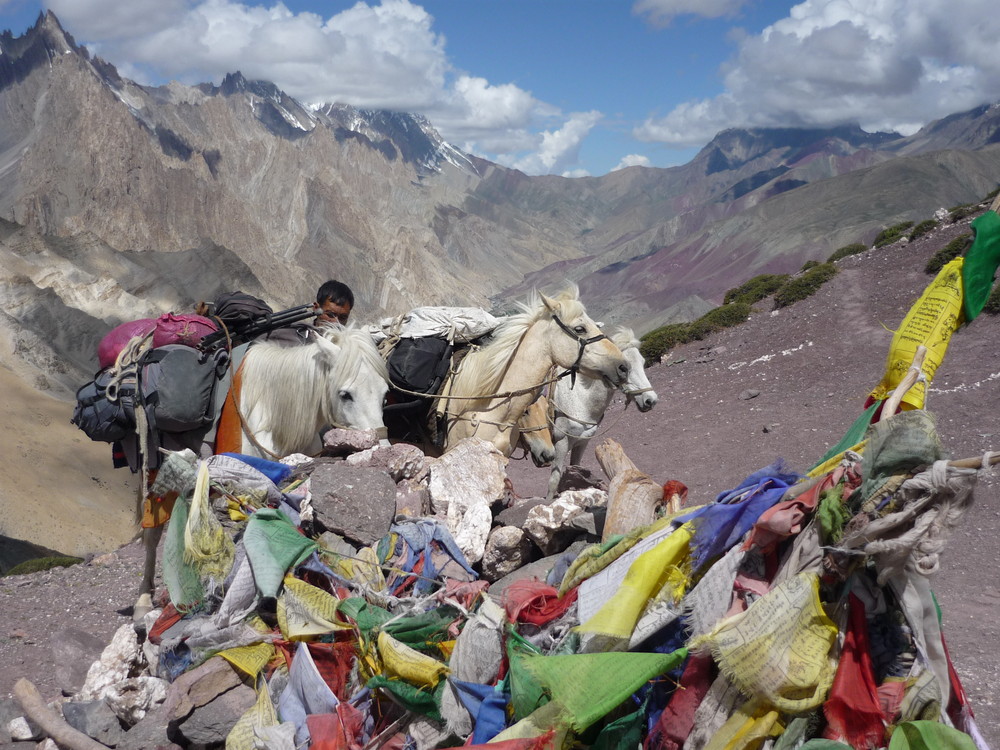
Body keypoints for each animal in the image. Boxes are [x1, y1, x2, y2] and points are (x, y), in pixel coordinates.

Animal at [548, 328, 656, 500]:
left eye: (643, 362)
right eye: (626, 367)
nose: (650, 400)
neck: (580, 398)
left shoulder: (582, 442)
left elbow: (574, 470)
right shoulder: (561, 442)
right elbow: (553, 482)